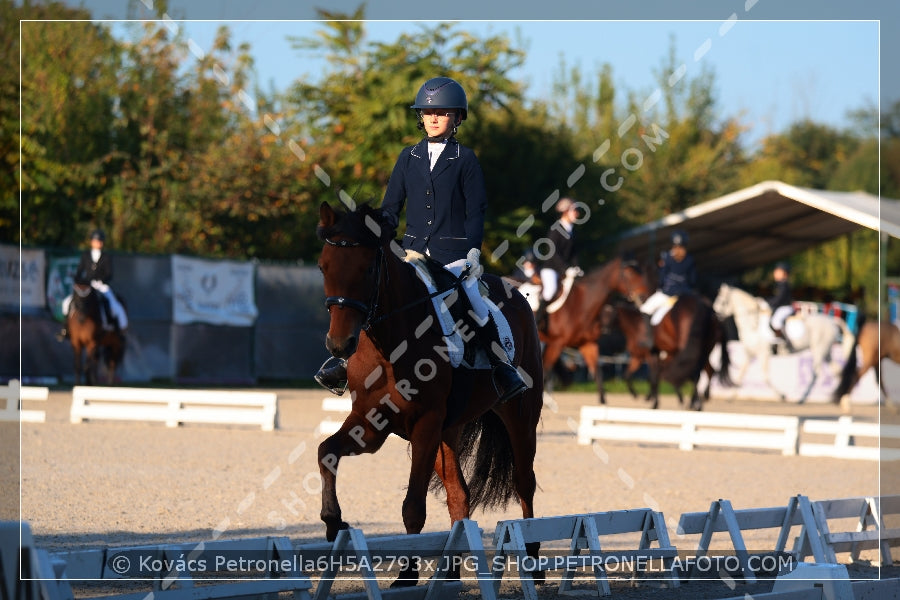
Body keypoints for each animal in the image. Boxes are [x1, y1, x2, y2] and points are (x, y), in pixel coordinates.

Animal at [314, 203, 540, 584]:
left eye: (367, 268)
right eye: (323, 266)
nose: (339, 345)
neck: (390, 346)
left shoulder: (425, 423)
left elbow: (413, 507)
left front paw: (406, 576)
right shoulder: (370, 424)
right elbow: (326, 451)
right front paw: (333, 522)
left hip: (520, 418)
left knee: (524, 483)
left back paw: (534, 564)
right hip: (448, 431)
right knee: (459, 496)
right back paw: (449, 573)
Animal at [536, 256, 652, 390]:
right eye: (630, 273)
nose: (645, 296)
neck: (581, 304)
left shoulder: (587, 344)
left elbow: (599, 380)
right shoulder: (556, 343)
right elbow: (544, 373)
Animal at [596, 294, 732, 410]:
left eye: (609, 313)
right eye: (602, 314)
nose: (604, 329)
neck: (636, 326)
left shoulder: (651, 355)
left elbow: (653, 376)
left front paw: (654, 402)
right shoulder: (639, 357)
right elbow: (628, 375)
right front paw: (639, 395)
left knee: (698, 372)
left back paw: (696, 402)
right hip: (705, 349)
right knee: (707, 370)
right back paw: (700, 399)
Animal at [712, 282, 856, 404]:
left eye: (722, 301)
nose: (715, 315)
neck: (753, 325)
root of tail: (832, 321)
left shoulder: (763, 353)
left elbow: (765, 377)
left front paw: (781, 395)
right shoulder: (750, 353)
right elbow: (741, 375)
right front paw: (730, 396)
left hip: (818, 350)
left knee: (817, 374)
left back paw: (803, 399)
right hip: (826, 352)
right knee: (837, 371)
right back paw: (843, 399)